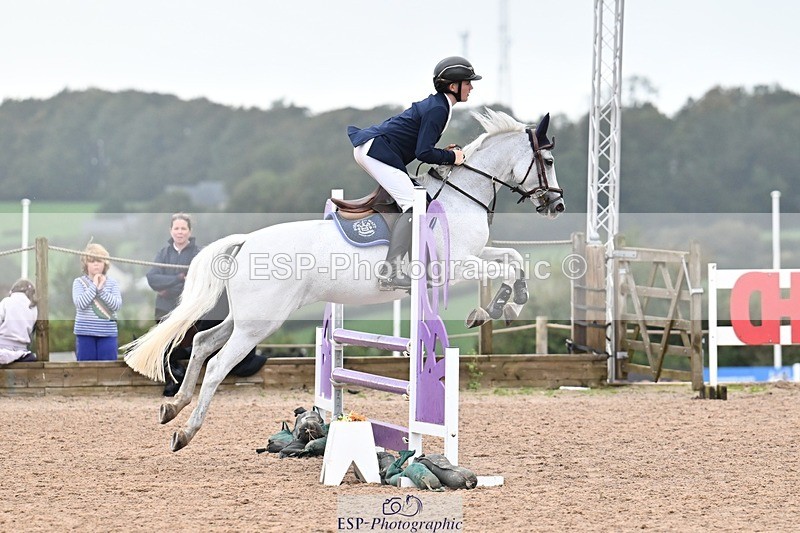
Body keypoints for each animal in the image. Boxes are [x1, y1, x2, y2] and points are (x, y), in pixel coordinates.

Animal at [124, 108, 565, 451]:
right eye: (547, 159)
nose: (557, 205)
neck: (462, 195)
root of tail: (247, 240)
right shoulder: (455, 265)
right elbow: (507, 267)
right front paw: (495, 306)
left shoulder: (474, 256)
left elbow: (512, 258)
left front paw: (507, 304)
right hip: (259, 323)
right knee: (217, 366)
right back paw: (185, 432)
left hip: (249, 317)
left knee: (201, 342)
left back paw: (171, 408)